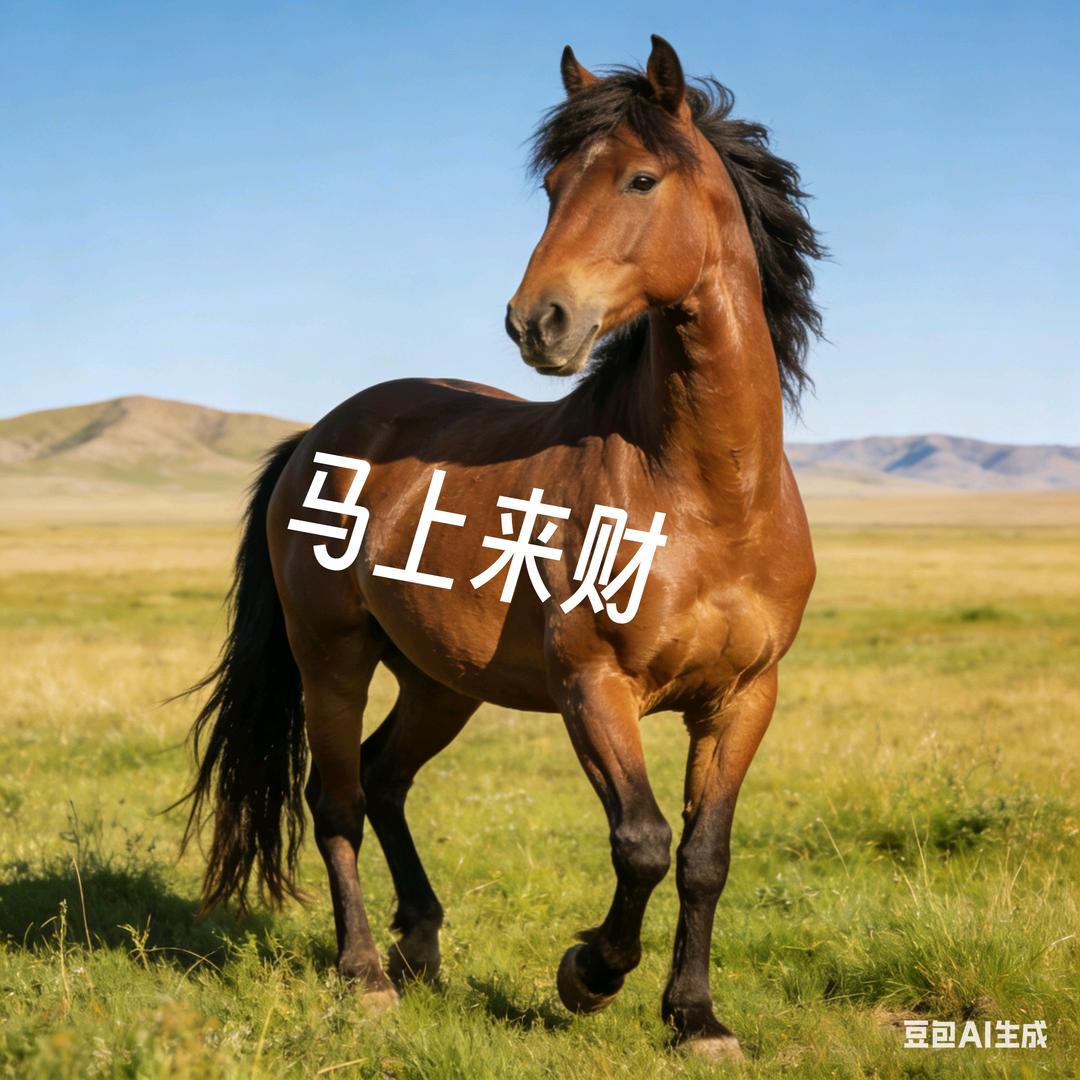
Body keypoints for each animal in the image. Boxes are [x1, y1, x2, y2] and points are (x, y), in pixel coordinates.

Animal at [180, 35, 823, 1062]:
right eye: (554, 186)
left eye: (641, 178)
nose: (537, 321)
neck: (707, 496)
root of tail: (319, 434)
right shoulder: (593, 686)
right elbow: (642, 841)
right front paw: (588, 975)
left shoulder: (742, 699)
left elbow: (703, 856)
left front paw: (696, 1019)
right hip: (333, 657)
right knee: (338, 798)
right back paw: (366, 975)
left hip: (440, 681)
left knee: (385, 776)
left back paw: (421, 942)